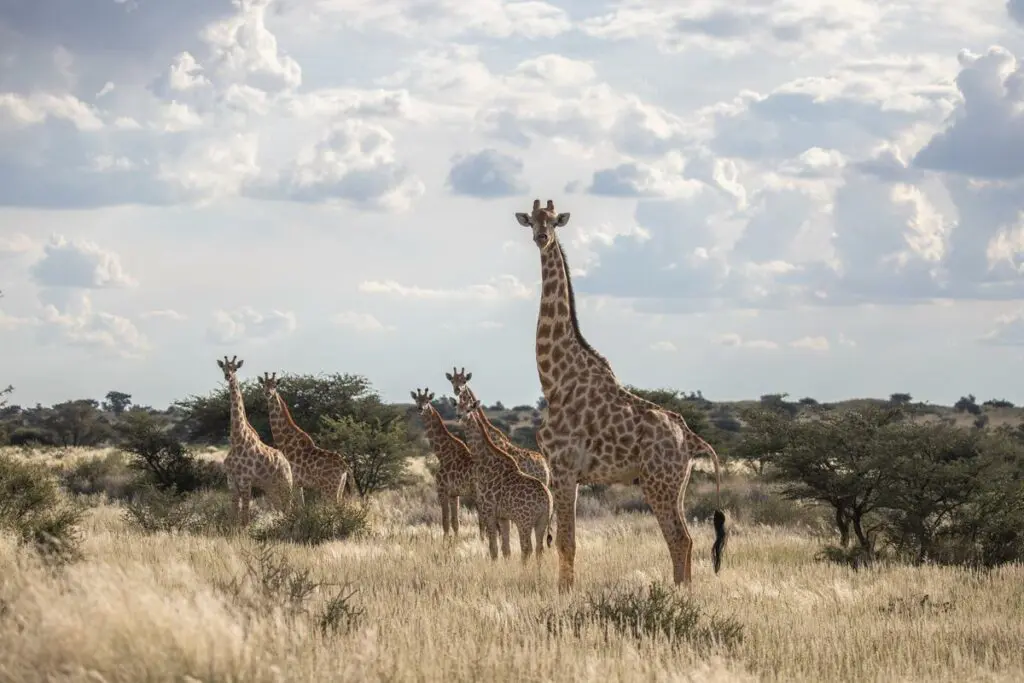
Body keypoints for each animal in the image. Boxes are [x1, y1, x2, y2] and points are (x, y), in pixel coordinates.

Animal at [217, 356, 293, 526]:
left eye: (235, 368)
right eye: (223, 368)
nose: (227, 376)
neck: (237, 440)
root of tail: (286, 461)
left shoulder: (245, 481)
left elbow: (245, 516)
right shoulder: (231, 481)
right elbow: (234, 514)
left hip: (286, 483)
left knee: (289, 506)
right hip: (270, 487)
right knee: (279, 507)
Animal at [257, 372, 358, 507]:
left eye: (275, 385)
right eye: (264, 385)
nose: (268, 393)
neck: (284, 440)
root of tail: (345, 467)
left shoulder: (292, 481)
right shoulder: (299, 484)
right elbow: (301, 506)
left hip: (329, 488)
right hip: (339, 488)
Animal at [410, 387, 485, 540]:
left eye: (427, 401)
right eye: (417, 400)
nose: (420, 408)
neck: (442, 453)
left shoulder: (442, 490)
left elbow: (445, 522)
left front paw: (445, 543)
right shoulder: (453, 494)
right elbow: (455, 523)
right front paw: (454, 542)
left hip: (478, 494)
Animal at [456, 388, 553, 564]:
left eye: (468, 409)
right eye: (457, 407)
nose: (458, 417)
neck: (484, 461)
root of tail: (548, 501)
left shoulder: (488, 510)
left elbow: (493, 549)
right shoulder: (503, 516)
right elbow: (506, 549)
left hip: (524, 521)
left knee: (527, 548)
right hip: (542, 521)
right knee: (539, 549)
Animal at [514, 199, 727, 591]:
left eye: (553, 221)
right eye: (532, 221)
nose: (541, 237)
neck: (553, 379)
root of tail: (691, 438)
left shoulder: (563, 467)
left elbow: (565, 542)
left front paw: (564, 593)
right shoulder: (567, 472)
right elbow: (564, 541)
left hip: (659, 483)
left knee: (679, 538)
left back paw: (678, 594)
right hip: (677, 484)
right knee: (687, 539)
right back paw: (685, 592)